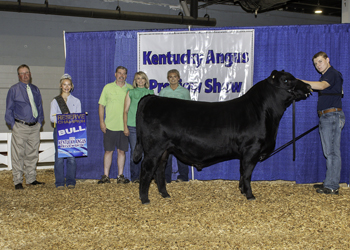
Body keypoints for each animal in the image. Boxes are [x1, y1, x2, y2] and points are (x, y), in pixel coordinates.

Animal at [134, 69, 312, 204]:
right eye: (287, 80)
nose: (309, 86)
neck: (264, 113)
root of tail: (152, 98)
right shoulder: (252, 149)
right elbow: (247, 173)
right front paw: (250, 196)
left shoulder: (245, 153)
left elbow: (242, 172)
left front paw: (242, 191)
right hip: (154, 148)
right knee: (146, 169)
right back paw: (145, 199)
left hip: (164, 150)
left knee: (159, 170)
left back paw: (165, 194)